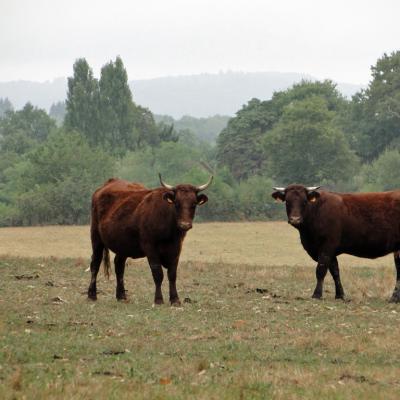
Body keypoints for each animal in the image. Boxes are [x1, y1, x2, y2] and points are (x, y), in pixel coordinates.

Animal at [87, 173, 212, 304]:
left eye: (193, 204)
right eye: (177, 204)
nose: (184, 225)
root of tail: (107, 184)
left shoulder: (176, 249)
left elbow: (172, 274)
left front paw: (175, 299)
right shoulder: (150, 248)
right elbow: (158, 274)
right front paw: (158, 300)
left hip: (122, 244)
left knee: (119, 266)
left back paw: (121, 296)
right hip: (96, 237)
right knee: (95, 263)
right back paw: (92, 295)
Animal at [270, 184, 400, 304]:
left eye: (304, 201)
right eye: (287, 201)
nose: (295, 219)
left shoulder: (327, 246)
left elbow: (321, 270)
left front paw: (317, 294)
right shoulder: (329, 251)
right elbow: (335, 271)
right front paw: (340, 295)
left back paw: (394, 298)